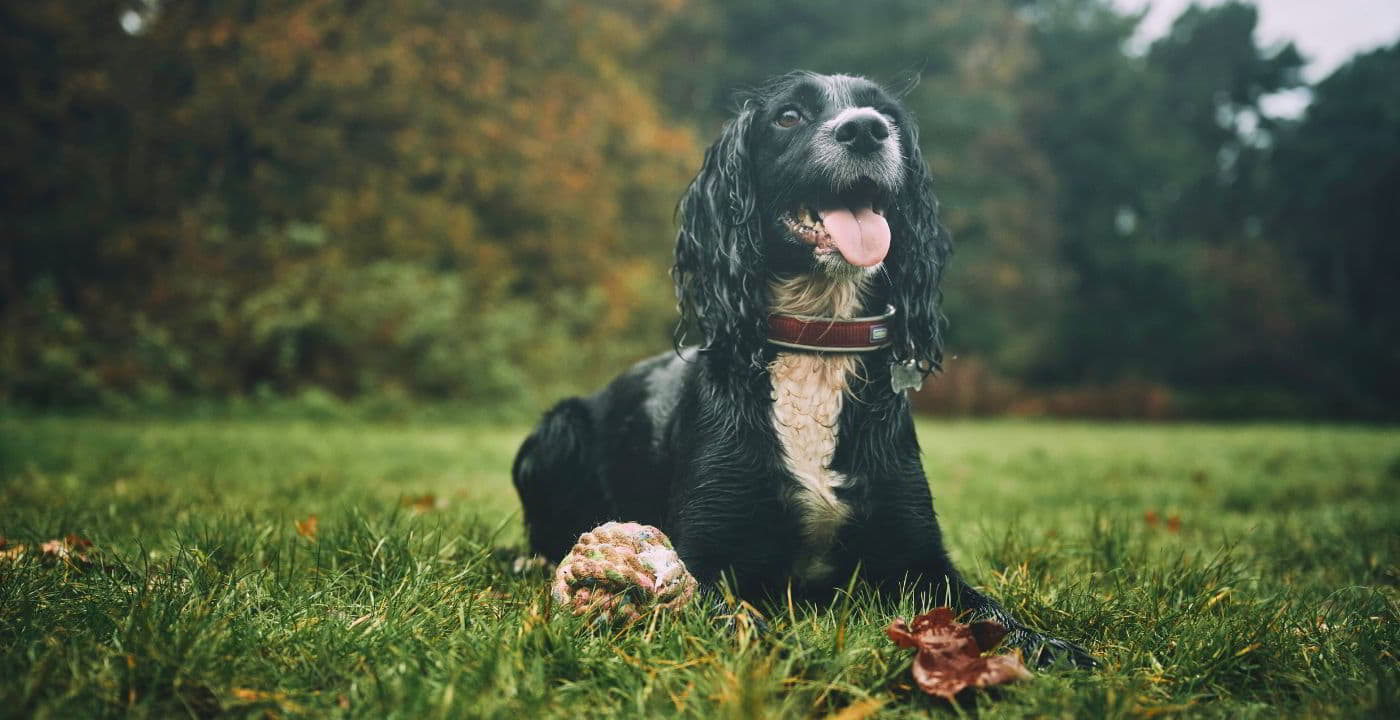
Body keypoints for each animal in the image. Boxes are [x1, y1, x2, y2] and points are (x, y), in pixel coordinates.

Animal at [515, 70, 1092, 663]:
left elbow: (989, 611)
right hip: (558, 428)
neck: (817, 339)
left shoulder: (920, 558)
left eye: (887, 115)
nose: (866, 130)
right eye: (788, 116)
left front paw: (1051, 647)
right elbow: (721, 611)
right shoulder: (699, 555)